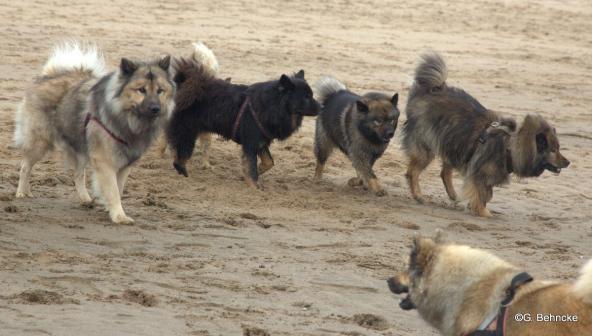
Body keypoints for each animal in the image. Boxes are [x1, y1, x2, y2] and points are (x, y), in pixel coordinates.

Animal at [164, 41, 322, 188]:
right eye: (306, 97)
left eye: (311, 95)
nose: (322, 106)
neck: (272, 105)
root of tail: (184, 85)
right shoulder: (251, 143)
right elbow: (252, 169)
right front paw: (254, 187)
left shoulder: (261, 141)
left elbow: (268, 163)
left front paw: (246, 175)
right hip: (187, 133)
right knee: (179, 157)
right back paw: (183, 175)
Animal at [402, 51, 568, 217]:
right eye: (553, 150)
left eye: (559, 149)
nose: (568, 162)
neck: (509, 146)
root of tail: (433, 89)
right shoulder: (479, 174)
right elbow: (480, 195)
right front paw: (483, 212)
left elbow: (487, 194)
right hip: (427, 147)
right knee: (413, 172)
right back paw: (418, 195)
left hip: (454, 143)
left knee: (444, 172)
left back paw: (453, 195)